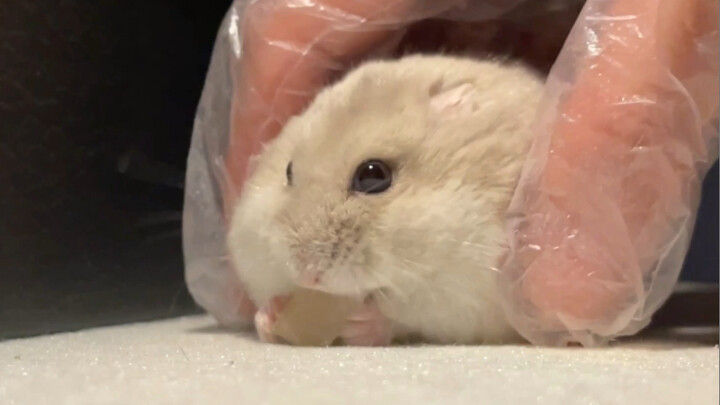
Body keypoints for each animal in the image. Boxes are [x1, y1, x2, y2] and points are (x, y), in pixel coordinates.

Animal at [227, 55, 544, 345]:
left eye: (373, 176)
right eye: (288, 171)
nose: (306, 277)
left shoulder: (471, 294)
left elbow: (407, 317)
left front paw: (359, 322)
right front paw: (270, 313)